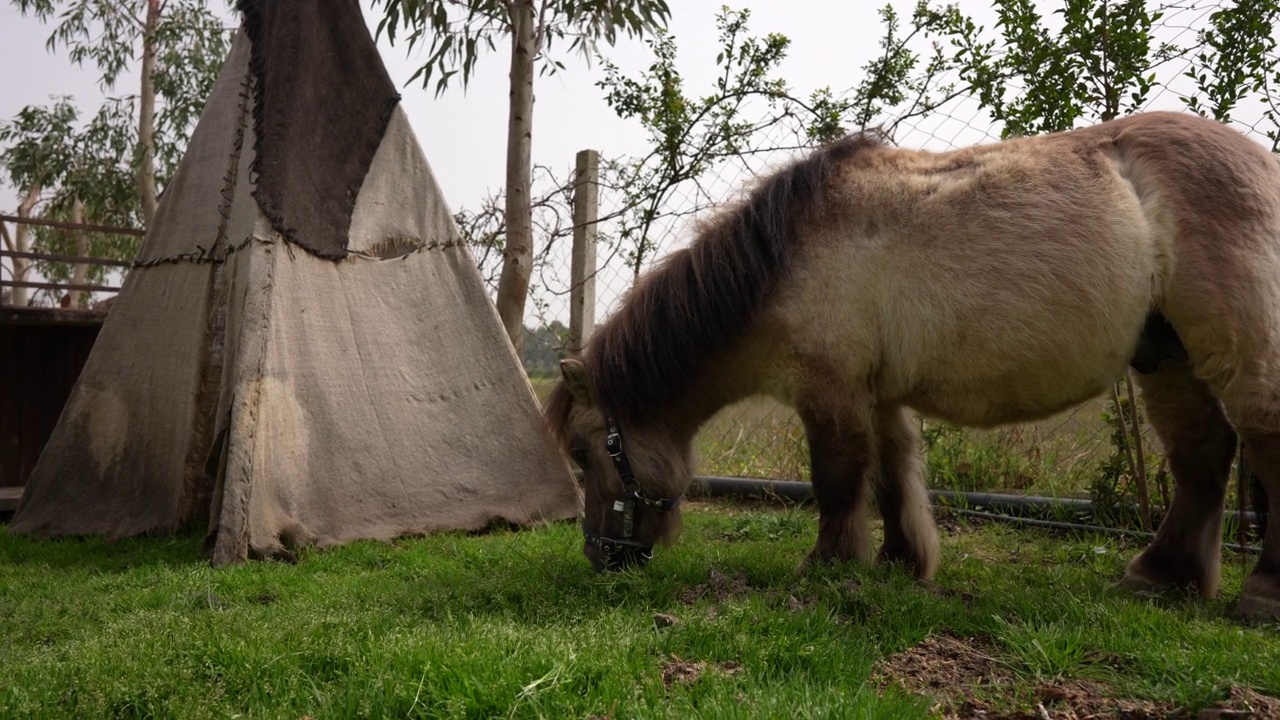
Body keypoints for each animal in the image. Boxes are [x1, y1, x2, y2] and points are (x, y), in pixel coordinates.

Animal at [545, 112, 1280, 617]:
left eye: (584, 452)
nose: (600, 557)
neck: (780, 262)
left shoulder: (831, 392)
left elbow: (839, 479)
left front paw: (828, 564)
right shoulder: (879, 395)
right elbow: (895, 478)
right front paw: (901, 562)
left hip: (1238, 353)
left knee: (1258, 438)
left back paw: (1260, 595)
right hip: (1168, 357)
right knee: (1203, 455)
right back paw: (1161, 577)